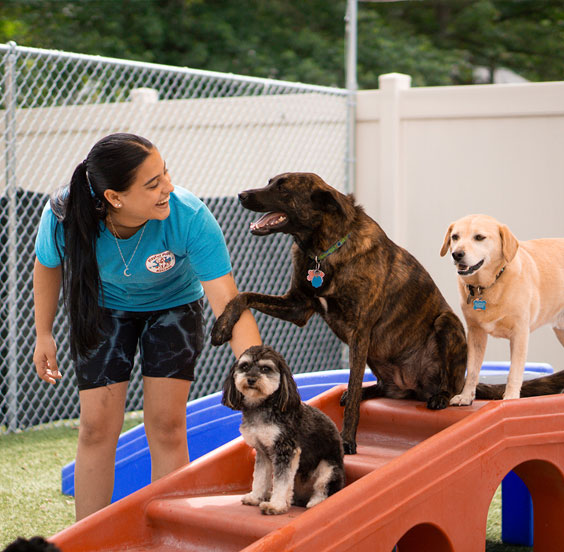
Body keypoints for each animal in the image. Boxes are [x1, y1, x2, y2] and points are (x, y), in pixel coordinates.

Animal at [212, 172, 468, 452]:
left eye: (283, 189)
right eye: (270, 182)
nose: (241, 195)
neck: (321, 251)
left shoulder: (359, 332)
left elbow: (354, 387)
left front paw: (347, 439)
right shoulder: (297, 307)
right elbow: (244, 295)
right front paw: (221, 326)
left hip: (445, 324)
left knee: (448, 383)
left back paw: (441, 396)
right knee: (383, 388)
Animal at [223, 348, 346, 516]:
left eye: (265, 368)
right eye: (245, 366)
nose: (251, 380)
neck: (262, 406)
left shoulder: (285, 450)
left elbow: (281, 482)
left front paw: (275, 506)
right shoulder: (263, 452)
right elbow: (260, 477)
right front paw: (256, 497)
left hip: (328, 468)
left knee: (325, 488)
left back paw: (315, 502)